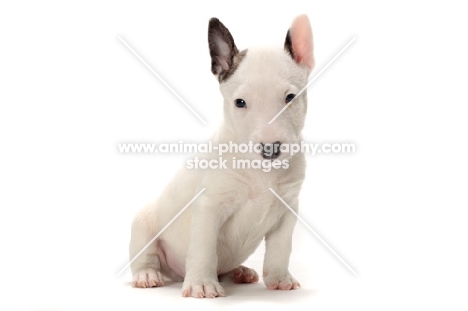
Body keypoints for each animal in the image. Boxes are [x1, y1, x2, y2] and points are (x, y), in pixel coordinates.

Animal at [130, 15, 316, 300]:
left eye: (290, 97)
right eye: (240, 102)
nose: (270, 149)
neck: (260, 171)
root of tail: (174, 273)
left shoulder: (287, 209)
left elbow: (281, 248)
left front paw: (279, 279)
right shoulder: (209, 207)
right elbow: (204, 249)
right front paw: (202, 285)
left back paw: (239, 271)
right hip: (143, 224)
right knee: (145, 257)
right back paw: (147, 275)